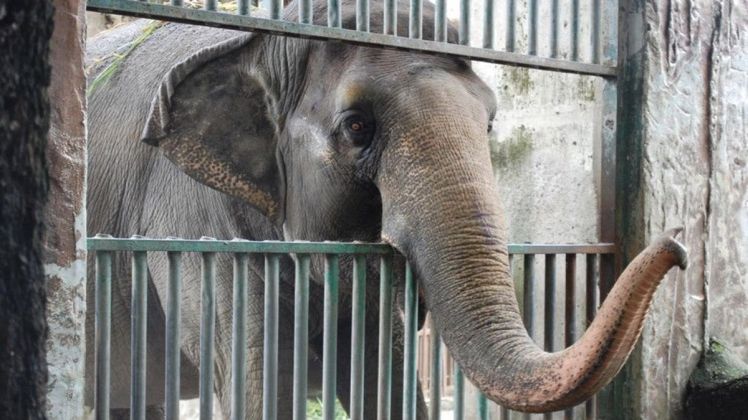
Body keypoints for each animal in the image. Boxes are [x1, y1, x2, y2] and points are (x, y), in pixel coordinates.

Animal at [85, 0, 687, 418]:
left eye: (490, 122)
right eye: (357, 127)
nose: (677, 244)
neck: (268, 39)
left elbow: (385, 375)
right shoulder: (195, 227)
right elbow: (261, 382)